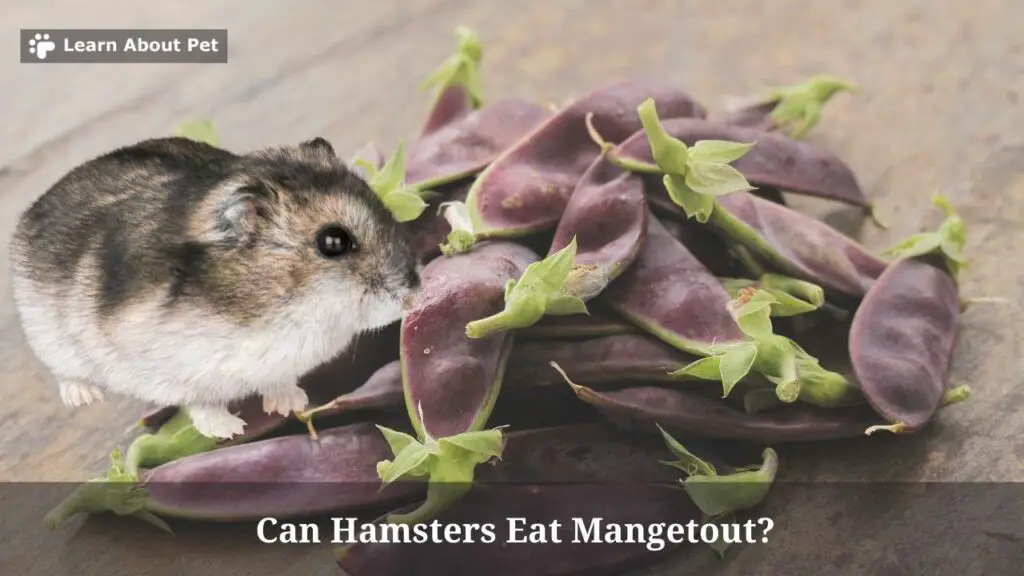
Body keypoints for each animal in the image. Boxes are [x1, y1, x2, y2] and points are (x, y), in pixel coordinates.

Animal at [9, 136, 421, 439]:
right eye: (333, 242)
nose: (415, 295)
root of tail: (35, 206)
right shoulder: (170, 368)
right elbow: (200, 401)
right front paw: (230, 430)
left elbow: (279, 379)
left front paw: (291, 403)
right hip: (50, 339)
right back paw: (83, 396)